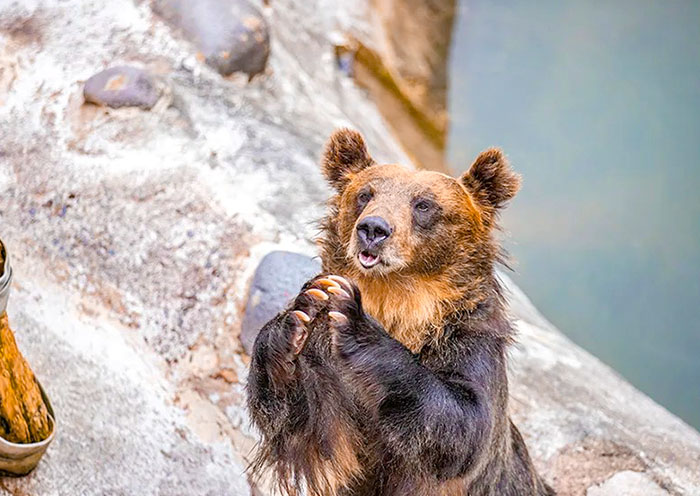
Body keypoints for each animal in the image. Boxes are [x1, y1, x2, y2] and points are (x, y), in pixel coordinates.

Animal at [246, 128, 554, 496]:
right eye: (365, 194)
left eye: (424, 204)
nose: (373, 229)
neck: (399, 302)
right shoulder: (334, 380)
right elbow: (306, 423)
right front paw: (296, 318)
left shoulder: (469, 344)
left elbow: (464, 425)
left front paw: (354, 320)